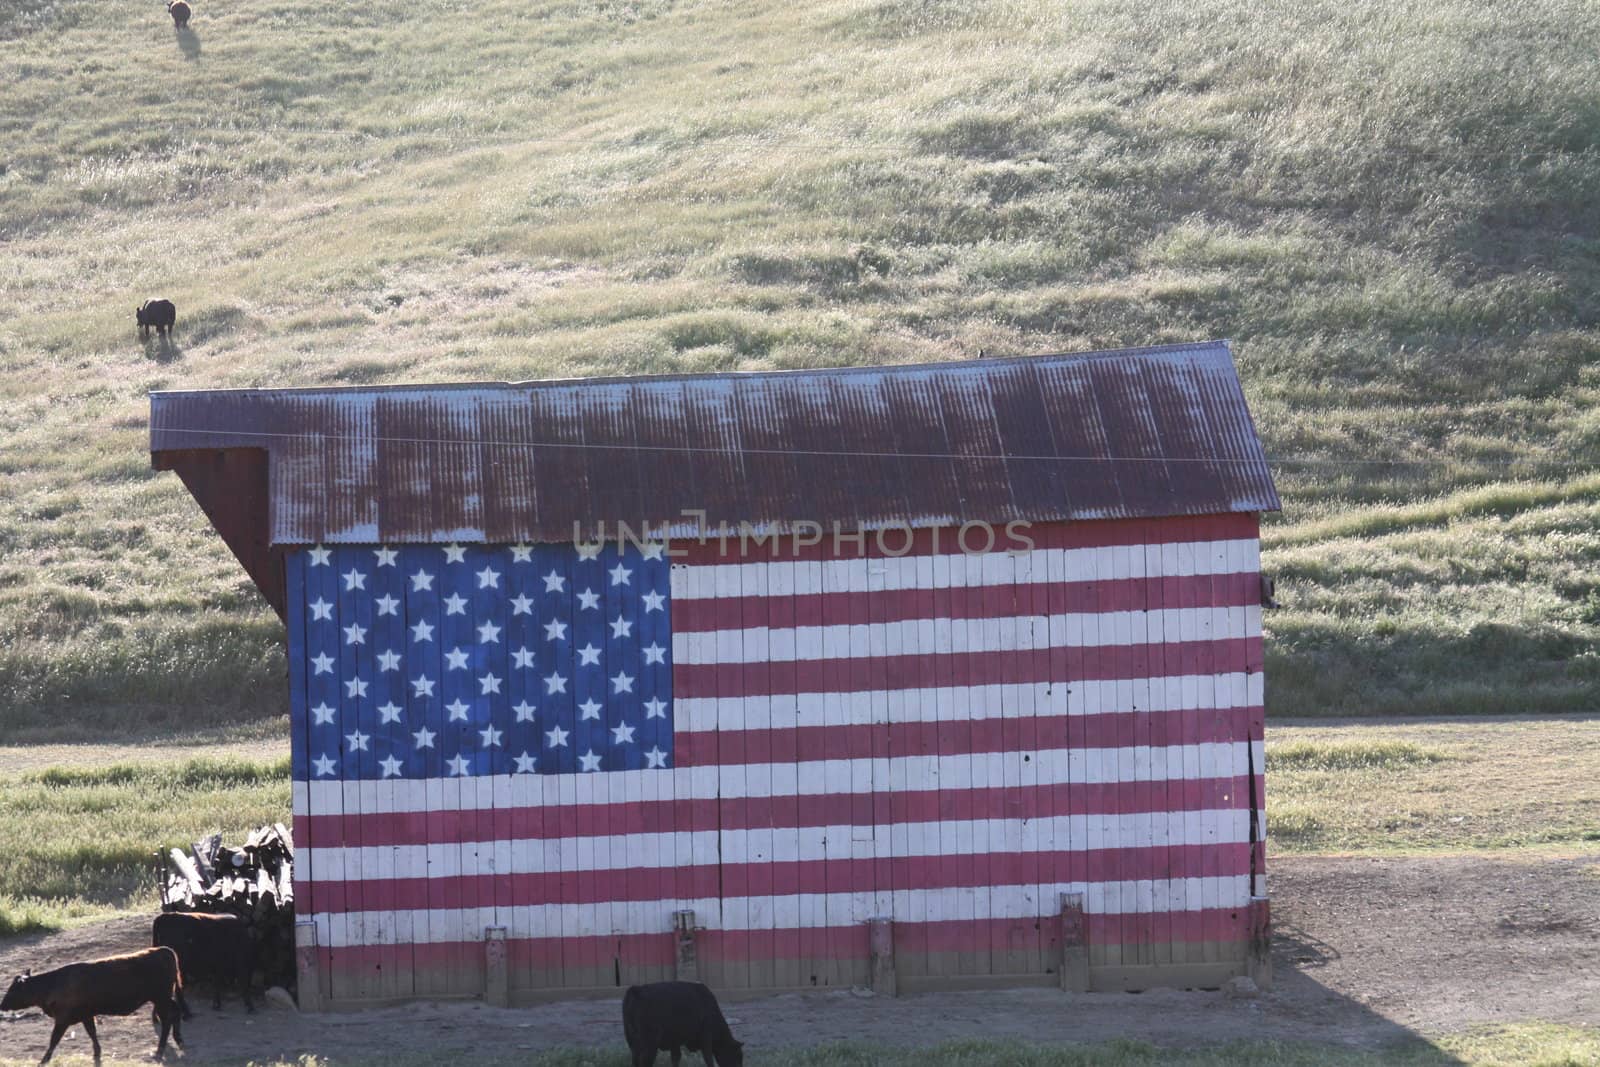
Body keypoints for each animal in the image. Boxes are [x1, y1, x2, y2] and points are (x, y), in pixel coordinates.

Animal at [0, 947, 184, 1062]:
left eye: (13, 990)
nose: (2, 1005)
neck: (53, 984)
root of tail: (163, 950)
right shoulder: (86, 1016)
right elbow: (92, 1033)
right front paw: (97, 1052)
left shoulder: (62, 1020)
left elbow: (54, 1040)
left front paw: (44, 1060)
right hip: (163, 999)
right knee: (176, 1012)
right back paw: (178, 1040)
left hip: (160, 999)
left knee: (168, 1020)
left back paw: (160, 1049)